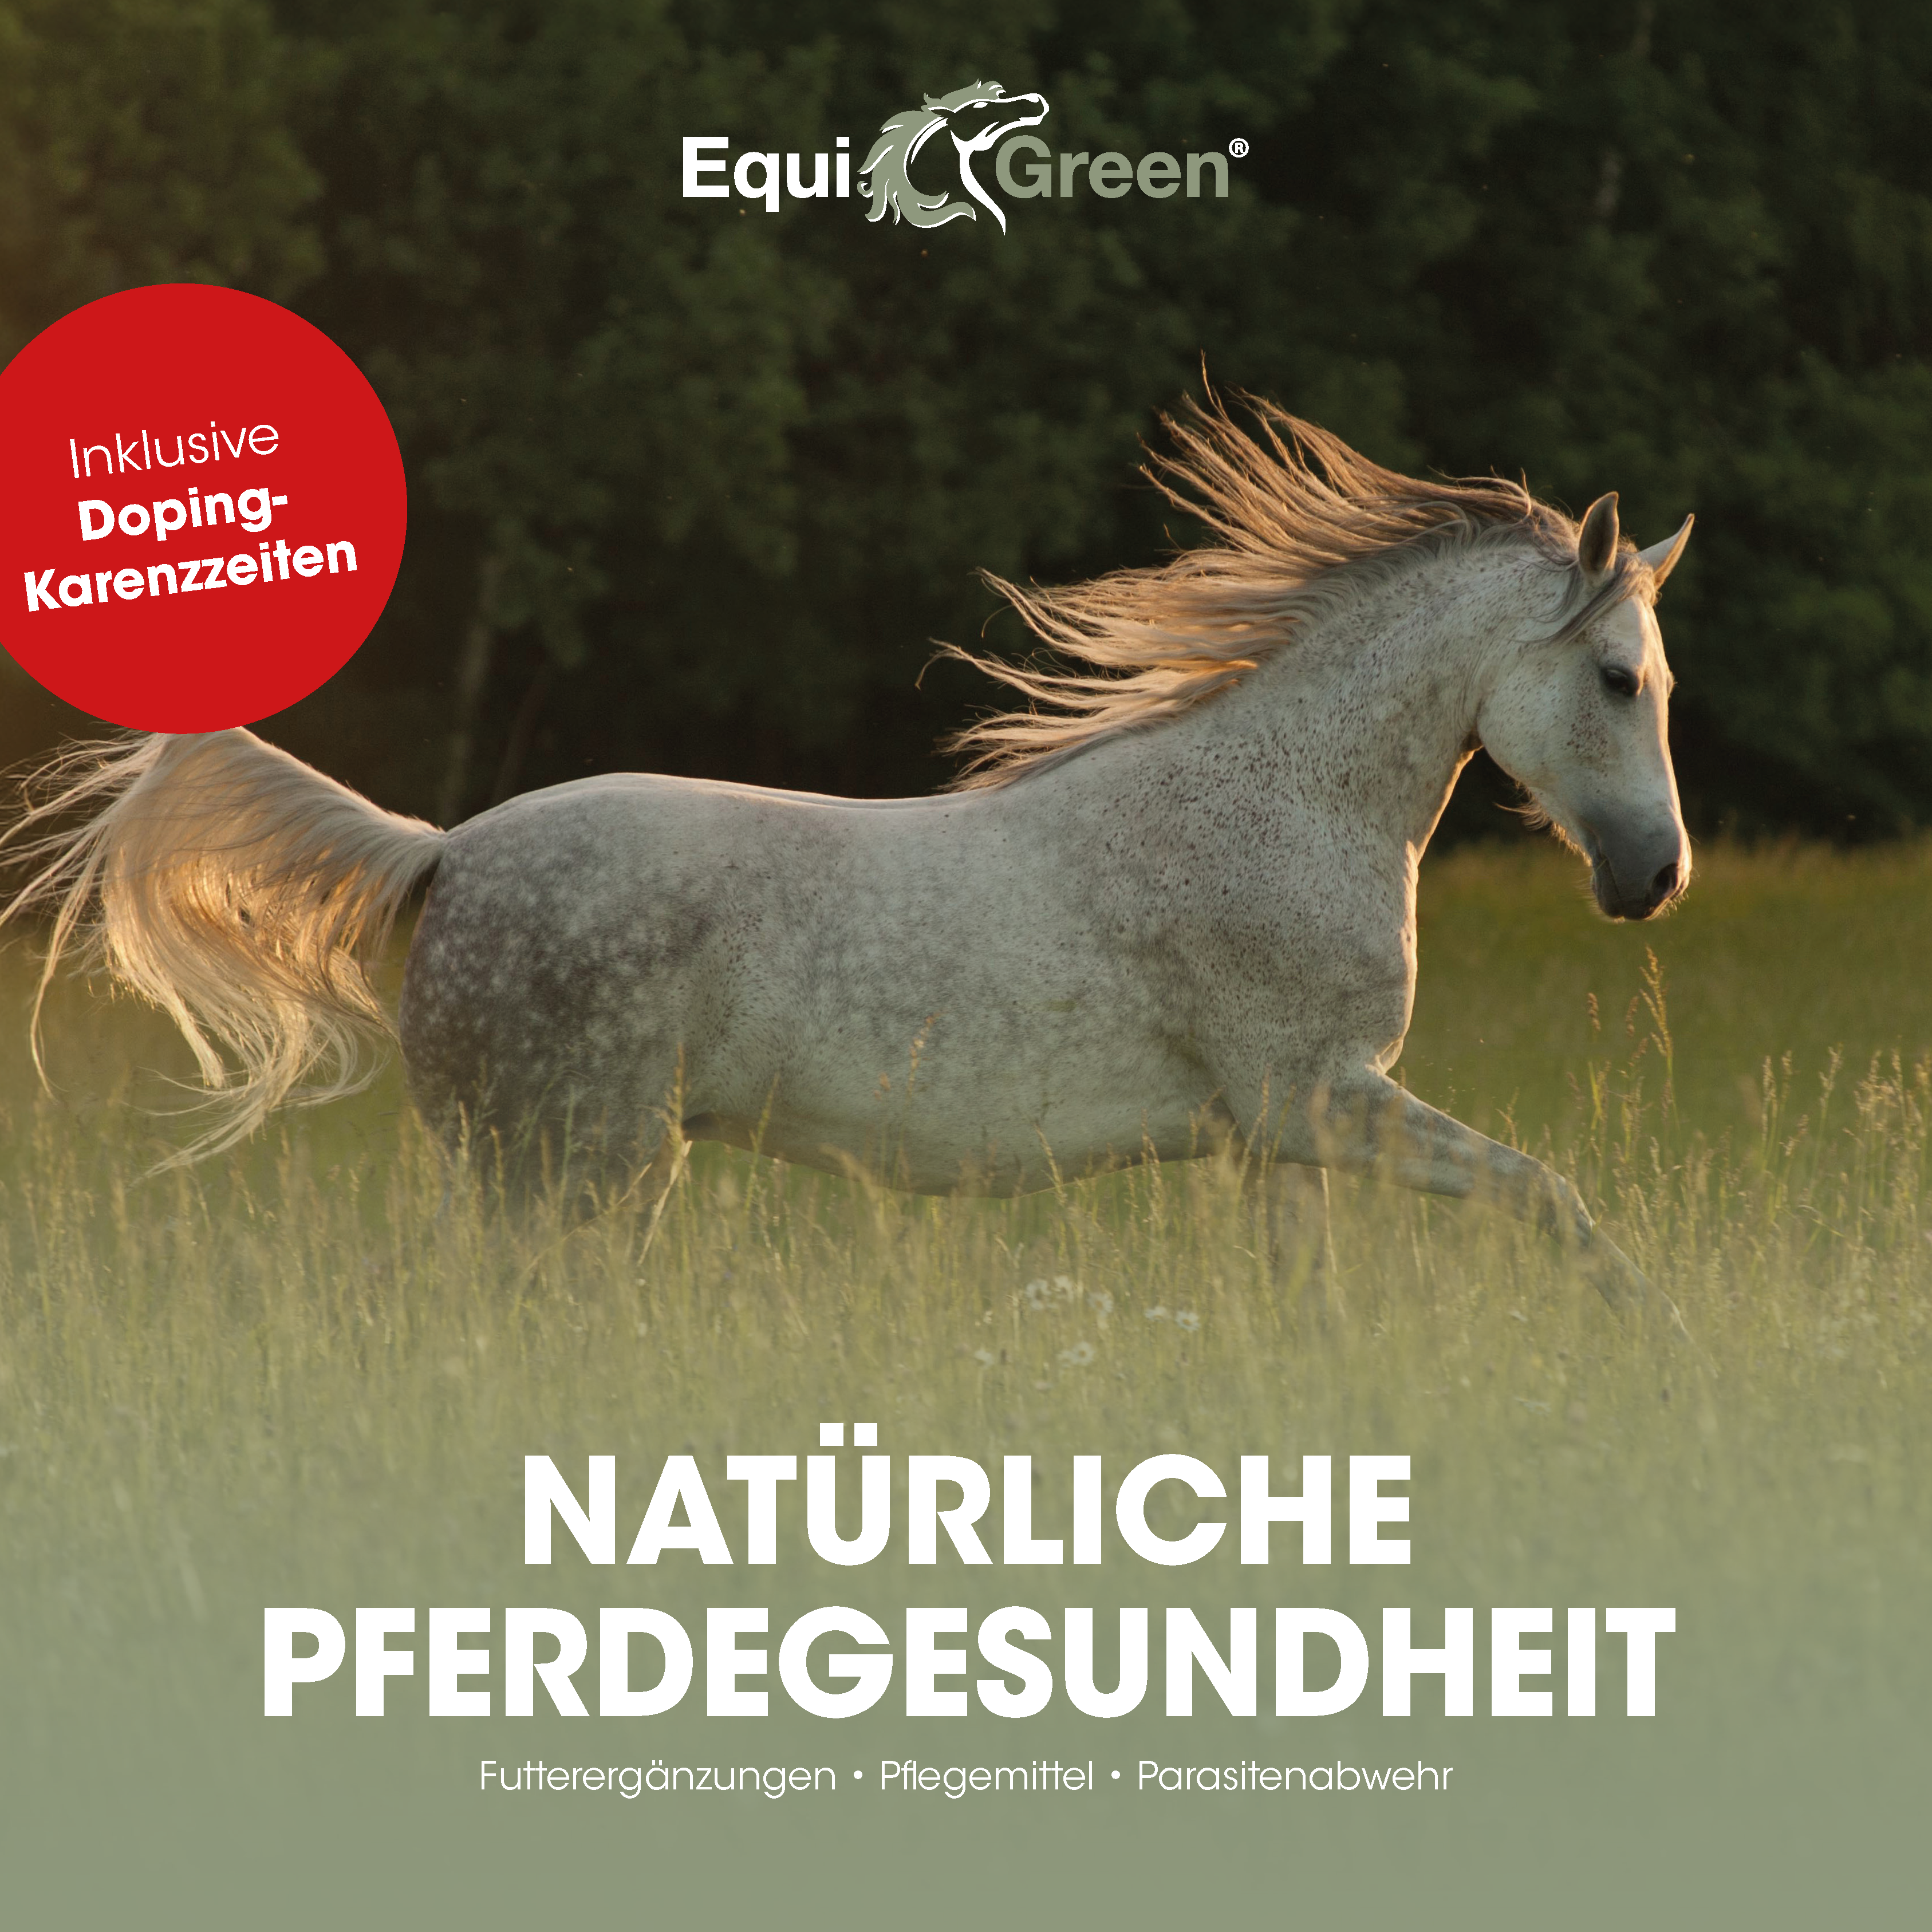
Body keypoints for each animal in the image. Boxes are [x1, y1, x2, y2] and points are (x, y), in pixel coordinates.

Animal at [0, 396, 1694, 1317]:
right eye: (1621, 678)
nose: (1651, 882)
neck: (1277, 805)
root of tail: (445, 853)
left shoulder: (1280, 1135)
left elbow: (1320, 1311)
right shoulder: (1320, 1100)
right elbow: (1554, 1198)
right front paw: (1658, 1347)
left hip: (562, 1171)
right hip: (569, 1169)